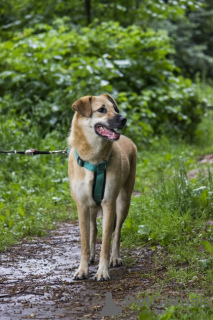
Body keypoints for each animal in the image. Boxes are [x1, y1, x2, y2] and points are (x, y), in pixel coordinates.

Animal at [68, 94, 136, 282]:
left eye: (115, 109)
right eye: (102, 110)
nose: (124, 119)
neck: (93, 159)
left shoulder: (108, 203)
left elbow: (106, 242)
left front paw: (102, 271)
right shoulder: (82, 206)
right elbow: (85, 242)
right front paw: (82, 269)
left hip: (123, 202)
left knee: (117, 232)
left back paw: (115, 258)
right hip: (92, 208)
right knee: (93, 229)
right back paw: (92, 256)